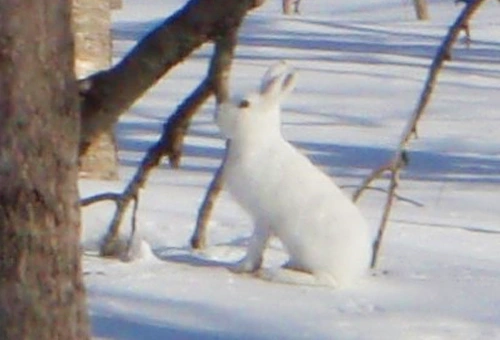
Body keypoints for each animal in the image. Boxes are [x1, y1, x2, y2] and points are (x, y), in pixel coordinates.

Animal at [214, 61, 372, 286]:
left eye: (244, 104)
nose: (217, 113)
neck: (257, 141)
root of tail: (353, 272)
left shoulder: (262, 216)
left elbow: (255, 244)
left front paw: (239, 268)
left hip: (311, 250)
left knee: (324, 280)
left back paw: (276, 273)